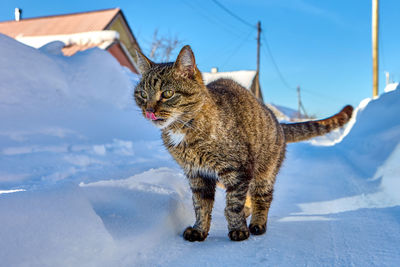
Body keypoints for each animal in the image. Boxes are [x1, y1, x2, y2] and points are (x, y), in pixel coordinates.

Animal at [134, 46, 354, 243]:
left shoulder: (238, 170)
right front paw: (199, 230)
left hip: (263, 173)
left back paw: (257, 223)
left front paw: (238, 230)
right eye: (142, 94)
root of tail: (279, 123)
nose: (149, 110)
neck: (184, 130)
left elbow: (233, 205)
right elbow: (201, 206)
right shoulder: (197, 175)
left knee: (262, 197)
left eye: (167, 93)